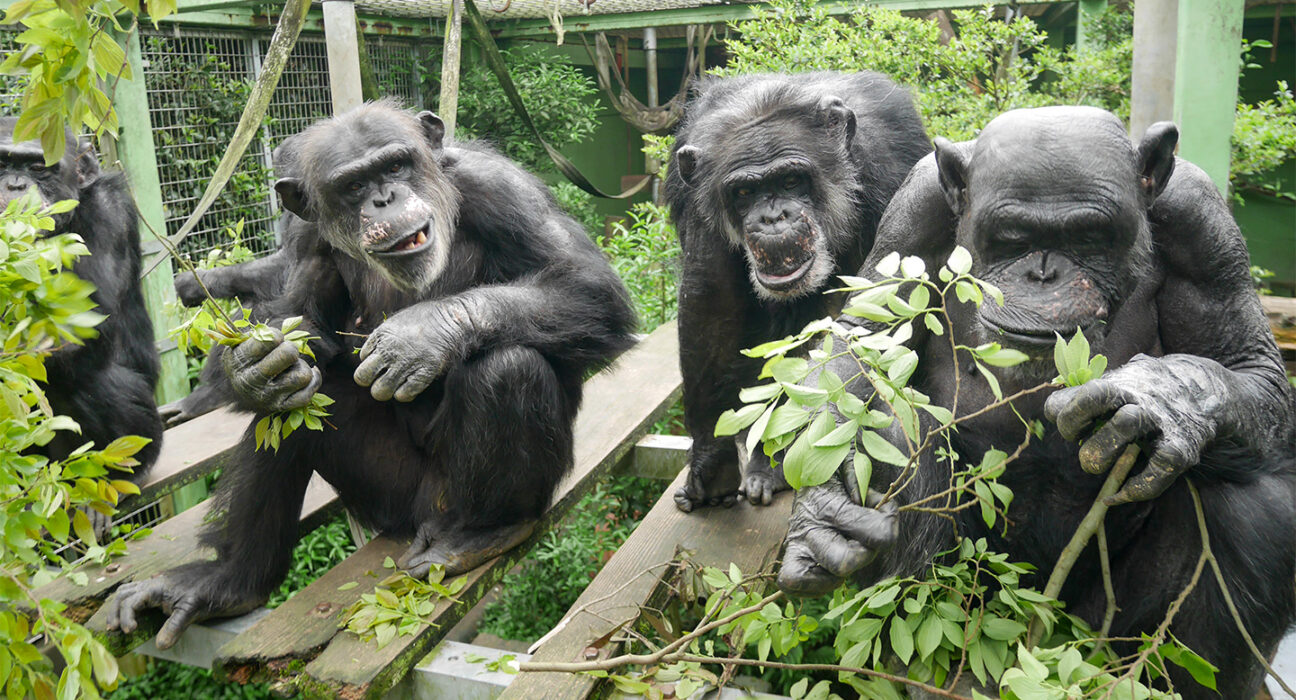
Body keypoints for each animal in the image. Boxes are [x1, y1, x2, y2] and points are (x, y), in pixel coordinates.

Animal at [0, 120, 164, 479]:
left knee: (94, 384)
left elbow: (75, 326)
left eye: (39, 167)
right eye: (1, 164)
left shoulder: (107, 214)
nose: (15, 185)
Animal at [668, 72, 933, 513]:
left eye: (791, 180)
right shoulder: (698, 202)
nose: (774, 217)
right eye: (744, 193)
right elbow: (710, 300)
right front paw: (711, 463)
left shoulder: (889, 169)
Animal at [777, 106, 1296, 694]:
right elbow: (863, 339)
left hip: (1094, 632)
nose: (1043, 272)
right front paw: (822, 515)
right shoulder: (914, 208)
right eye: (1012, 238)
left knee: (1254, 502)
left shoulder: (1202, 223)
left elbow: (1249, 365)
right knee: (892, 429)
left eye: (1090, 237)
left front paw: (1163, 397)